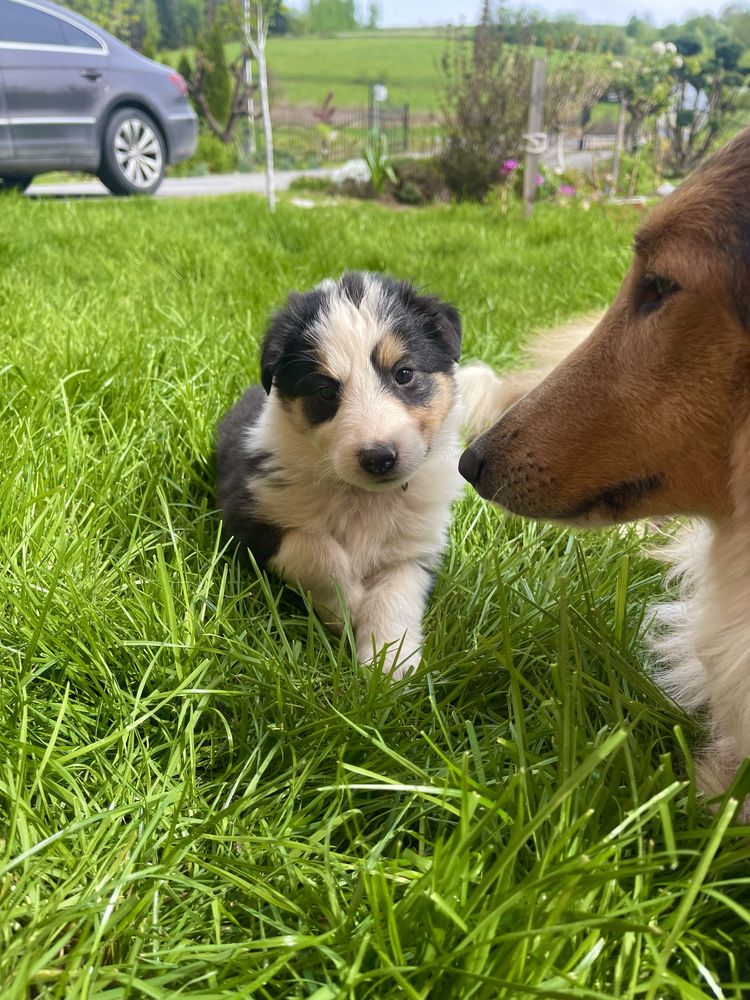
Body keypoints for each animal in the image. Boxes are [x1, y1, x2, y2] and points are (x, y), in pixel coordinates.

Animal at [214, 270, 516, 676]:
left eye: (404, 374)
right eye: (325, 390)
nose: (379, 458)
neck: (364, 498)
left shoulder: (415, 547)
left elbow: (396, 595)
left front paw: (389, 663)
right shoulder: (249, 514)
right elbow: (317, 551)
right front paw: (348, 605)